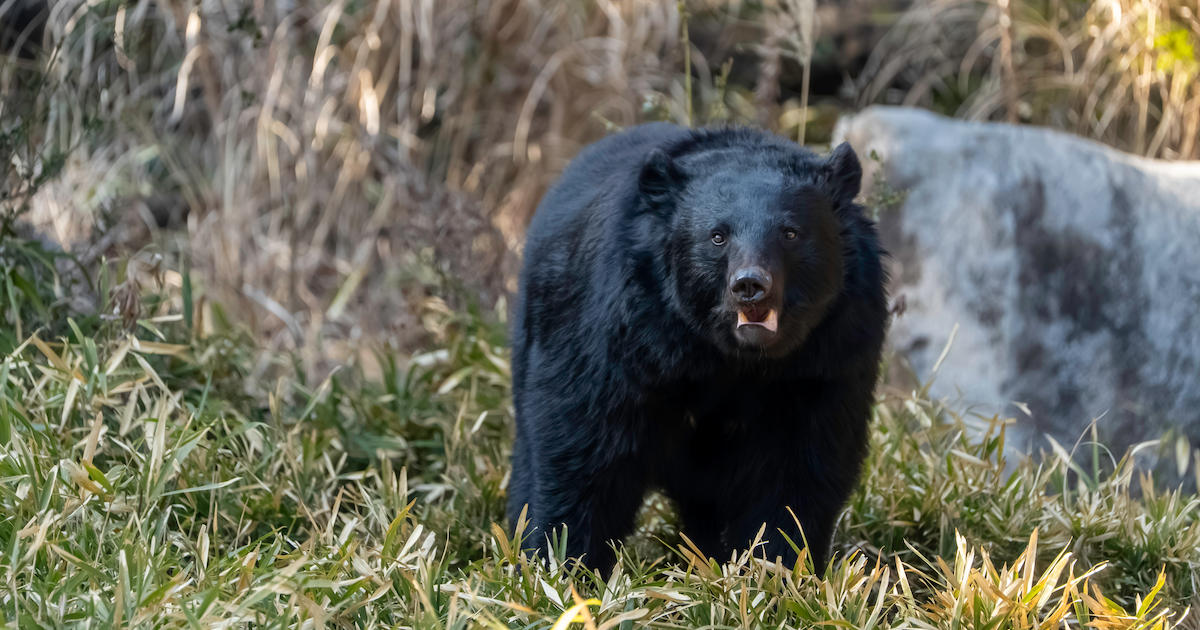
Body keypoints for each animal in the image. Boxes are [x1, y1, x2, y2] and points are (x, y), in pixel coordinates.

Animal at [507, 122, 888, 574]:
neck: (733, 358)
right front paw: (565, 562)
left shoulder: (828, 359)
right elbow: (585, 444)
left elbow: (800, 465)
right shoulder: (617, 337)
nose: (750, 285)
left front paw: (775, 565)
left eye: (791, 233)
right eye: (718, 236)